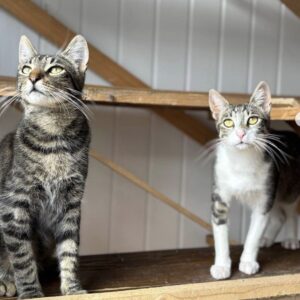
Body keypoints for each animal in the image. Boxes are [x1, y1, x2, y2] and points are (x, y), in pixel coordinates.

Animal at [0, 35, 90, 298]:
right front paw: (30, 292)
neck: (53, 137)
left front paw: (72, 287)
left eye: (55, 69)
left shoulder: (71, 202)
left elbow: (70, 249)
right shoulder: (14, 204)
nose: (33, 77)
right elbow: (22, 257)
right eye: (26, 68)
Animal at [209, 81, 300, 278]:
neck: (242, 161)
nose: (241, 134)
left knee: (289, 212)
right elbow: (220, 230)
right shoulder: (220, 193)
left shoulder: (264, 196)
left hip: (286, 187)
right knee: (279, 216)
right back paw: (267, 239)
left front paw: (248, 262)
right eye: (228, 122)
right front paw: (221, 266)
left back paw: (290, 238)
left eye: (253, 120)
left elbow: (254, 233)